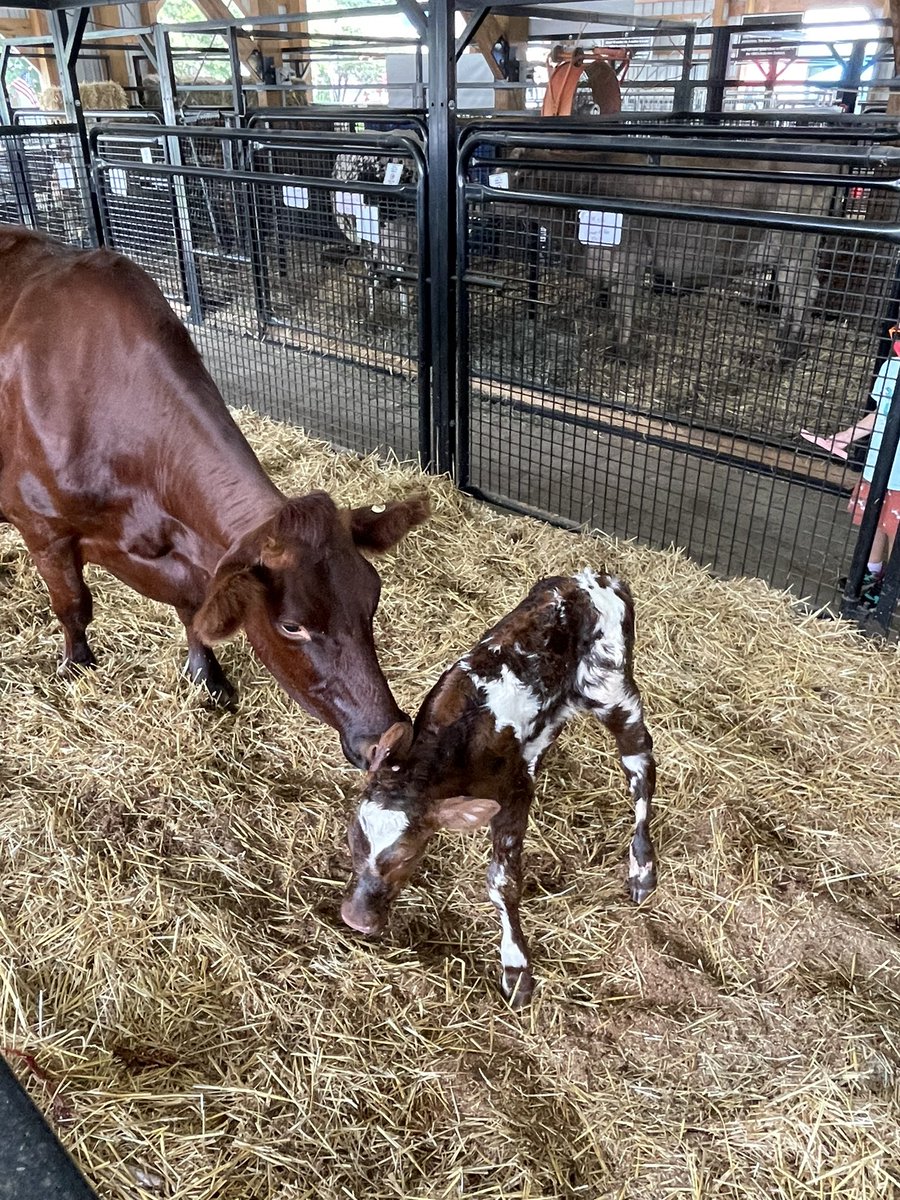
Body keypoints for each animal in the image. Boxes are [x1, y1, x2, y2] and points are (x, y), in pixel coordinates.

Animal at [0, 225, 429, 769]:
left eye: (373, 599)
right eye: (291, 626)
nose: (392, 739)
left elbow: (193, 611)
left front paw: (207, 678)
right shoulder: (43, 529)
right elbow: (73, 605)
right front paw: (77, 668)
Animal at [342, 570, 656, 1007]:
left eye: (408, 854)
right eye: (352, 840)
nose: (356, 919)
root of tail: (596, 577)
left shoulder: (513, 793)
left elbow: (502, 881)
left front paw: (516, 968)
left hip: (613, 689)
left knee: (641, 764)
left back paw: (643, 868)